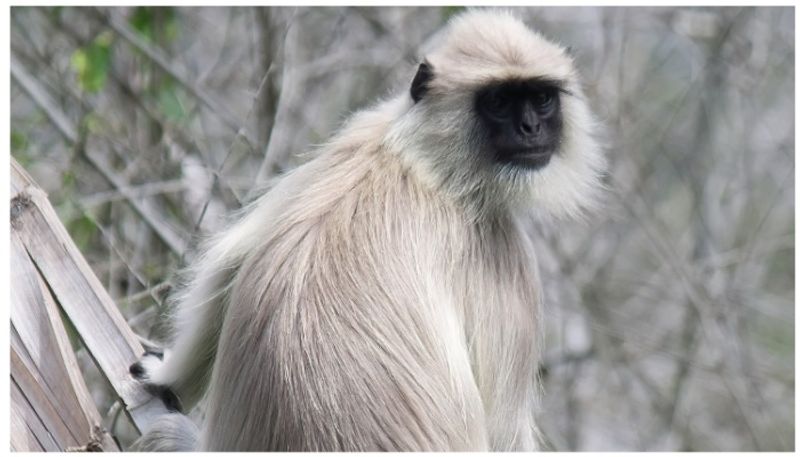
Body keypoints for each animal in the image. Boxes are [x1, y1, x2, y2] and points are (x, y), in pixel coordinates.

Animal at [133, 8, 608, 450]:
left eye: (541, 98)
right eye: (499, 101)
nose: (531, 127)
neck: (427, 166)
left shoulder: (363, 131)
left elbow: (232, 256)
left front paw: (166, 376)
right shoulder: (501, 248)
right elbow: (503, 431)